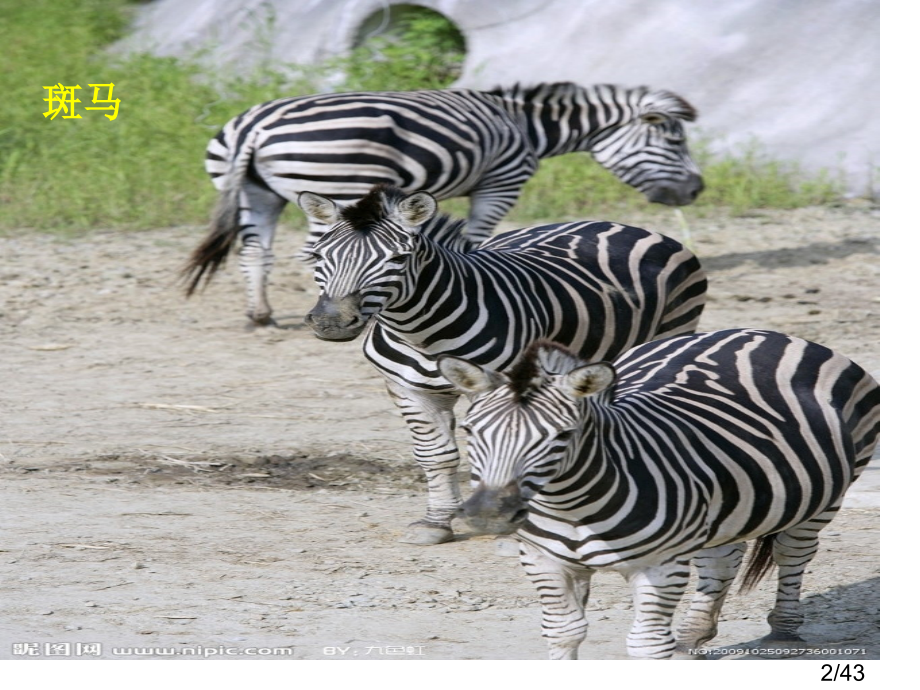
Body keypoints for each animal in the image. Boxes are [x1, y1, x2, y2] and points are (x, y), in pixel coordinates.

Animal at [180, 81, 700, 326]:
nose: (697, 192)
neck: (526, 127)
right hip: (336, 184)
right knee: (312, 249)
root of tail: (254, 127)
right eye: (675, 141)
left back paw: (260, 315)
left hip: (256, 192)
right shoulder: (501, 182)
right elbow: (476, 239)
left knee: (256, 251)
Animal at [294, 183, 704, 544]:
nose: (331, 322)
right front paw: (436, 523)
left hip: (668, 331)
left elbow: (501, 448)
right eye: (318, 256)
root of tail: (621, 224)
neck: (420, 333)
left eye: (397, 259)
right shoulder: (407, 388)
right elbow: (436, 457)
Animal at [438, 332, 884, 656]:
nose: (487, 515)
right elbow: (563, 632)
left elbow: (647, 645)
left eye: (562, 437)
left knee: (793, 552)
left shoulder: (661, 566)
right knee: (722, 558)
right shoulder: (543, 560)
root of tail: (761, 333)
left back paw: (783, 633)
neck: (571, 506)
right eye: (470, 431)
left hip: (828, 497)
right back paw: (692, 636)